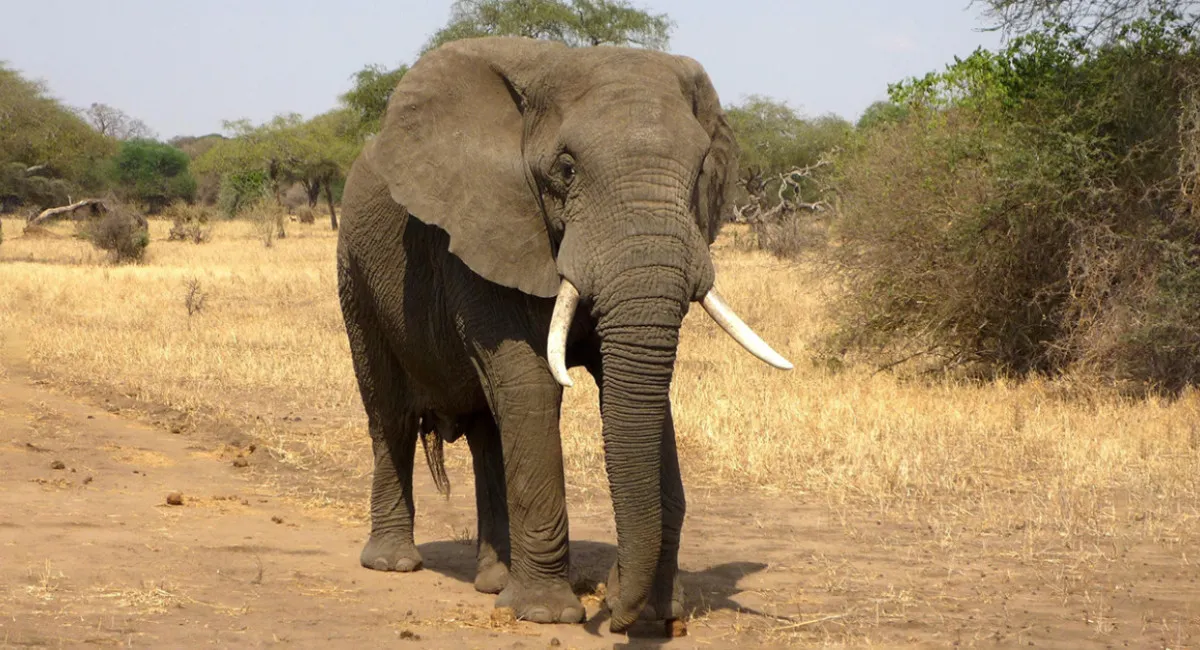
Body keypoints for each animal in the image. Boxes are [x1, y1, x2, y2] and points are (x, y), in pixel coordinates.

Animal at [335, 35, 792, 633]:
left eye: (699, 173)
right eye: (567, 169)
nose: (615, 611)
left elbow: (640, 393)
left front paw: (656, 613)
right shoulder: (487, 229)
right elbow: (532, 385)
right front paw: (546, 616)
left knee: (488, 430)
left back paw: (494, 582)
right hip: (354, 271)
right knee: (388, 411)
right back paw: (394, 564)